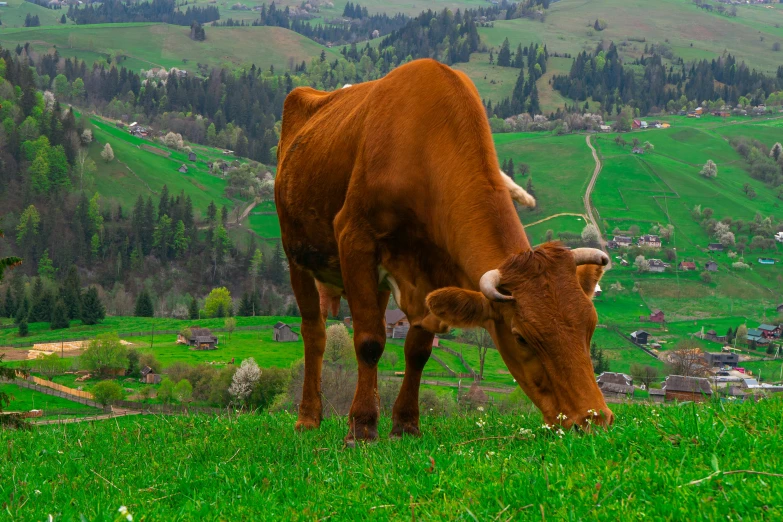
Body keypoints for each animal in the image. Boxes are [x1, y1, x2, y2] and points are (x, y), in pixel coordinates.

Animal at [278, 61, 616, 442]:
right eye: (522, 337)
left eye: (590, 325)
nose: (593, 419)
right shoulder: (354, 238)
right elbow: (369, 341)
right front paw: (362, 427)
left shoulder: (433, 270)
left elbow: (418, 350)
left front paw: (405, 424)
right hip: (297, 253)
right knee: (314, 333)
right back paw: (309, 417)